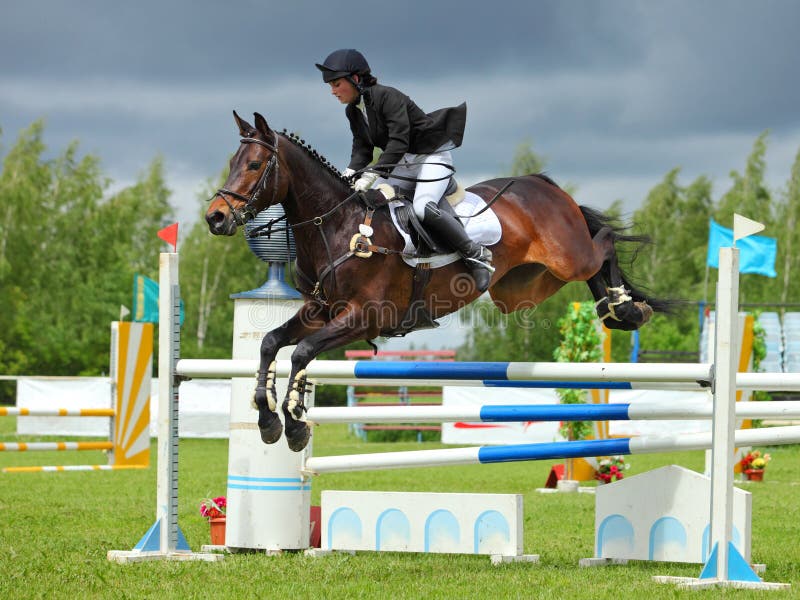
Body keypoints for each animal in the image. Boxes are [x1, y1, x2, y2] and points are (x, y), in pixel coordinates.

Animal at [206, 111, 668, 450]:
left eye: (254, 164)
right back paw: (617, 309)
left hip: (569, 256)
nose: (215, 218)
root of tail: (541, 183)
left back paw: (626, 308)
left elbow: (302, 352)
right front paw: (268, 420)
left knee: (604, 243)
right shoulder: (321, 311)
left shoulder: (365, 316)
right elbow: (271, 343)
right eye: (231, 163)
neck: (337, 226)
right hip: (525, 286)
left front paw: (296, 424)